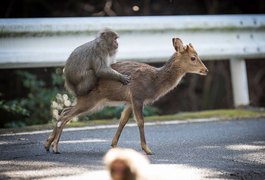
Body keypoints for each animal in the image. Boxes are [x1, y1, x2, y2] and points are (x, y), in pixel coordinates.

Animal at [44, 37, 207, 155]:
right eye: (193, 58)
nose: (205, 70)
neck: (154, 81)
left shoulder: (129, 101)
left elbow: (122, 120)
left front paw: (113, 145)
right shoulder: (137, 96)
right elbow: (140, 121)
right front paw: (147, 149)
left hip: (92, 102)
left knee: (64, 111)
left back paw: (47, 144)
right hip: (90, 100)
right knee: (65, 115)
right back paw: (55, 147)